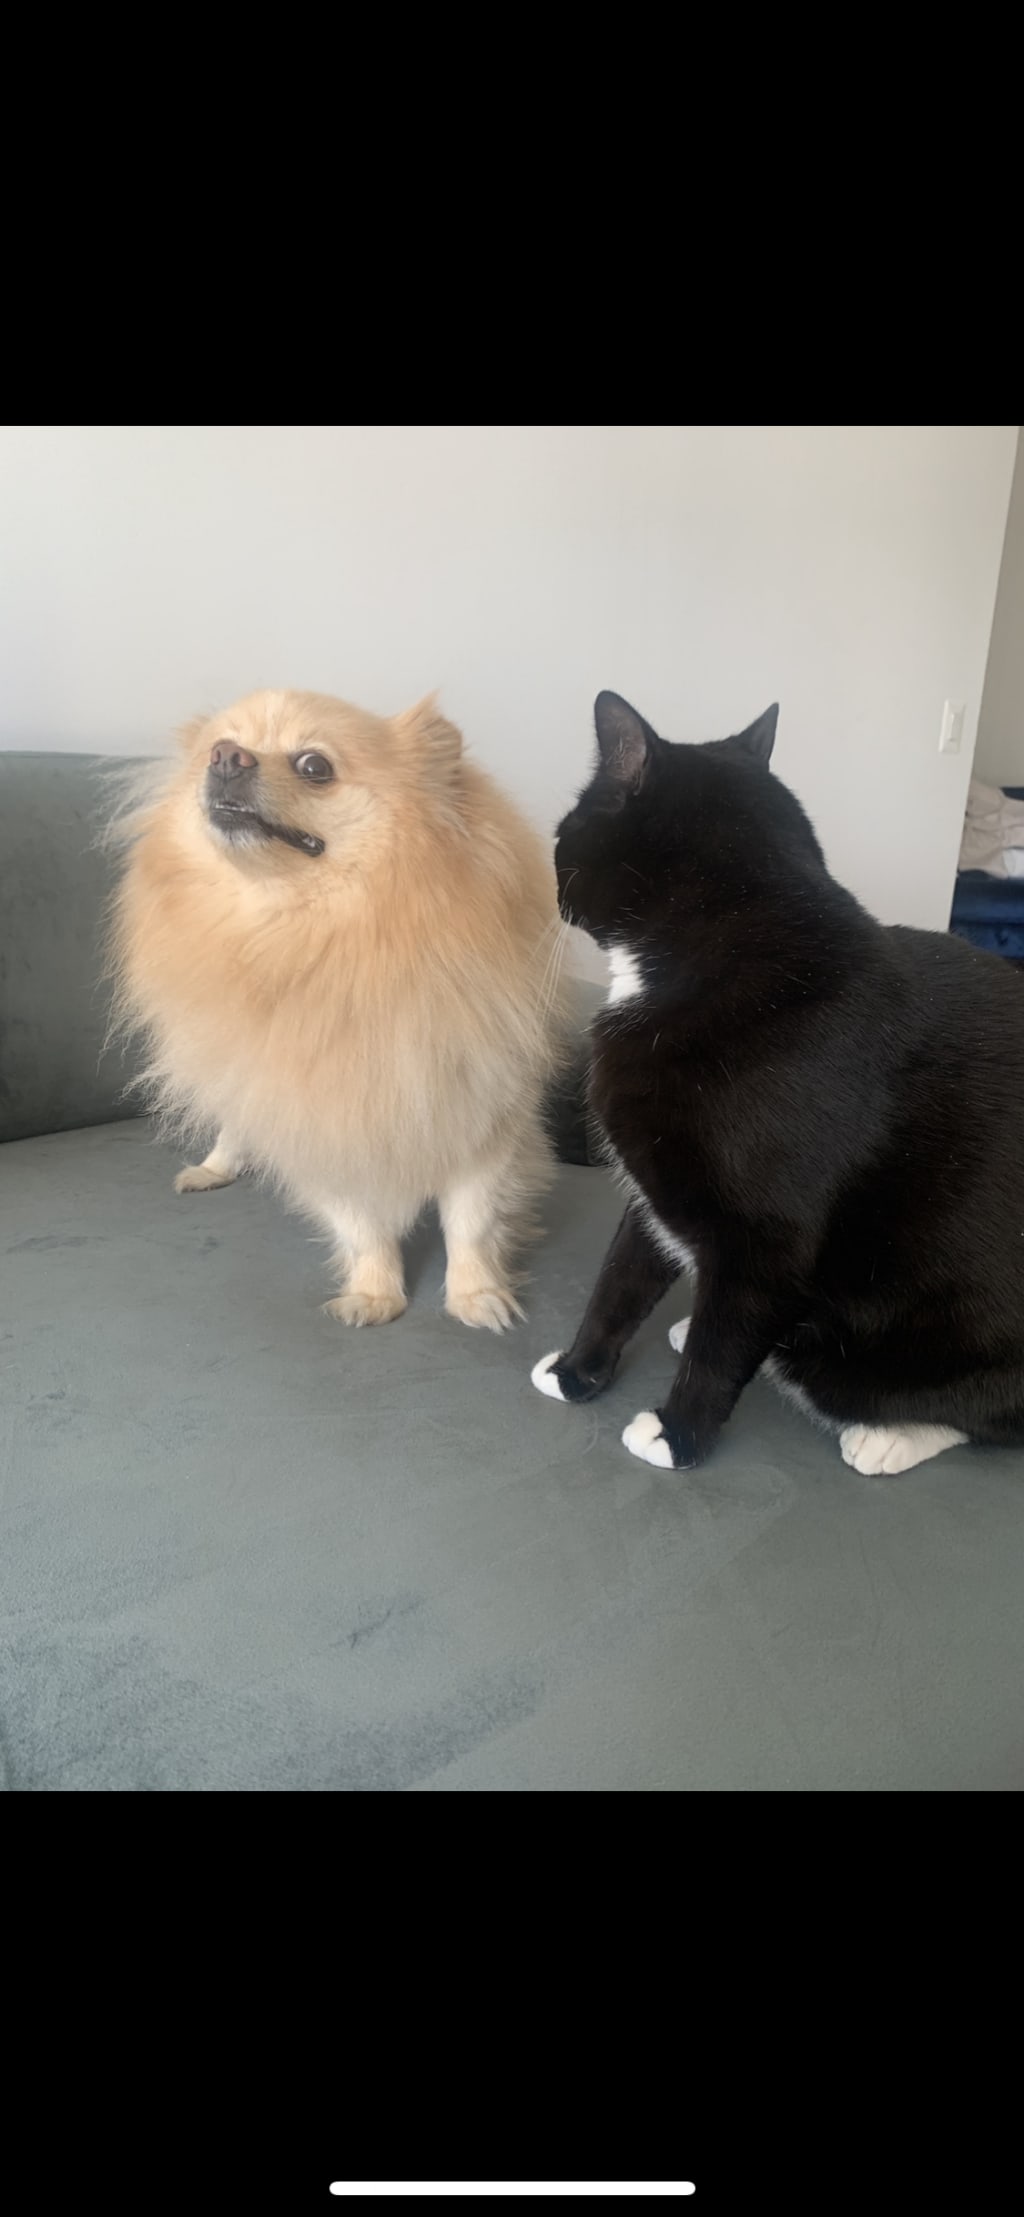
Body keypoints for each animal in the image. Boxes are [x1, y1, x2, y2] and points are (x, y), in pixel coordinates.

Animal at [109, 689, 566, 1328]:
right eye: (216, 748)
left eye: (314, 766)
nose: (225, 758)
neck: (310, 938)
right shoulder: (322, 1124)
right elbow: (361, 1226)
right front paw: (375, 1295)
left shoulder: (482, 1117)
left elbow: (471, 1223)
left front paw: (477, 1298)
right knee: (234, 1123)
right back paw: (215, 1168)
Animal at [531, 689, 1024, 1476]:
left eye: (565, 833)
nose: (553, 885)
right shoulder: (654, 1182)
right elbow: (619, 1279)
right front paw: (579, 1371)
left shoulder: (767, 1236)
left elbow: (717, 1350)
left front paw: (678, 1433)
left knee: (976, 1412)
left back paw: (888, 1436)